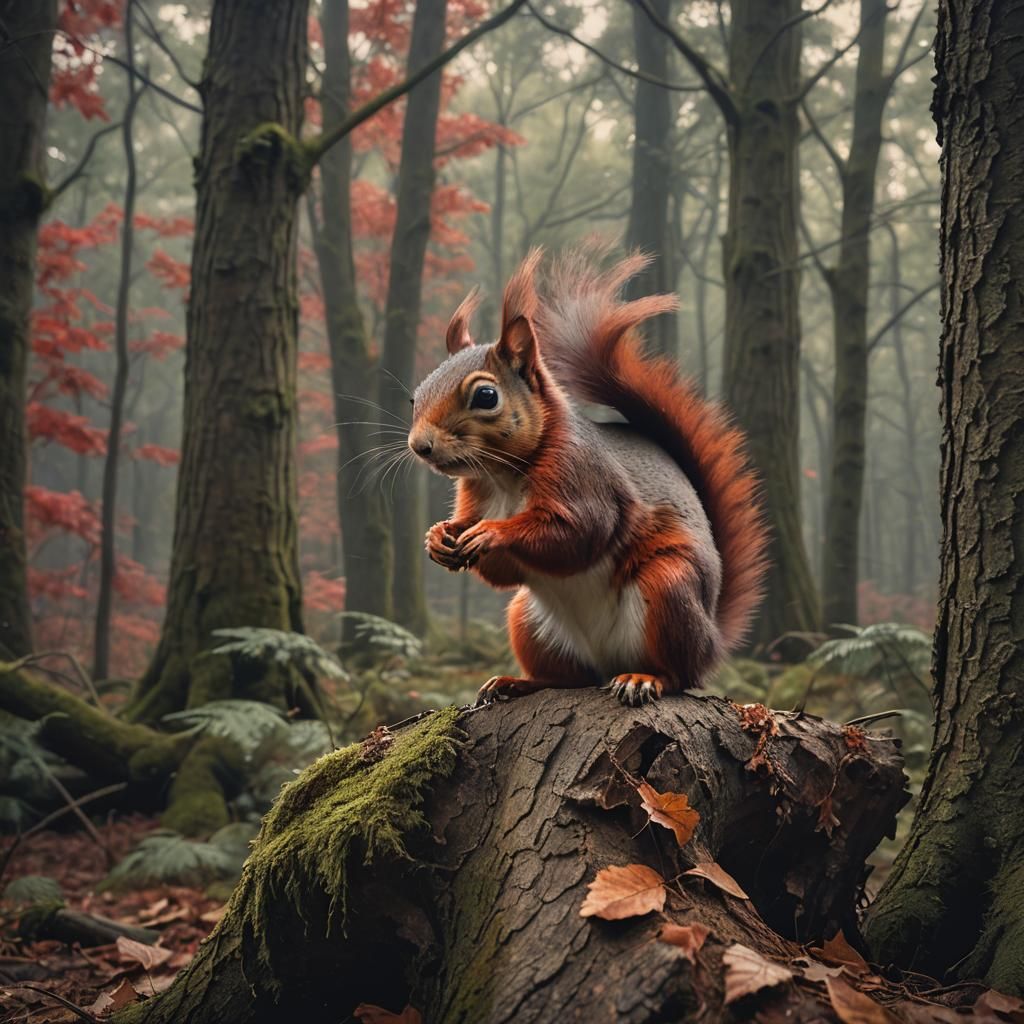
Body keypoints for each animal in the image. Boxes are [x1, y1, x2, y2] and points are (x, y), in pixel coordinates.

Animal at [408, 247, 769, 707]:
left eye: (486, 396)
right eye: (416, 396)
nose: (420, 445)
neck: (503, 475)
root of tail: (712, 642)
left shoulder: (586, 478)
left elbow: (579, 533)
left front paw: (492, 532)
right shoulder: (477, 496)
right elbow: (499, 567)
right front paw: (439, 537)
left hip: (669, 589)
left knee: (678, 674)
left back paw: (644, 679)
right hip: (528, 620)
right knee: (568, 678)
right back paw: (515, 682)